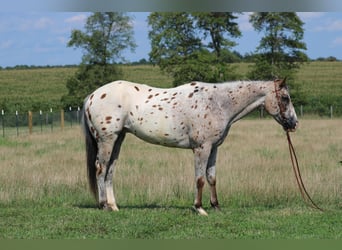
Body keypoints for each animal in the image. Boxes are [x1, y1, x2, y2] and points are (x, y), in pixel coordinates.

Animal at [82, 77, 296, 215]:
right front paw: (199, 208)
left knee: (110, 171)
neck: (218, 102)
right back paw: (103, 205)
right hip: (107, 140)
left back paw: (114, 206)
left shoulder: (214, 148)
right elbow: (200, 179)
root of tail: (92, 96)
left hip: (118, 140)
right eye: (285, 98)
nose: (294, 123)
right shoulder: (202, 148)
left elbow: (211, 178)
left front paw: (216, 206)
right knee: (100, 169)